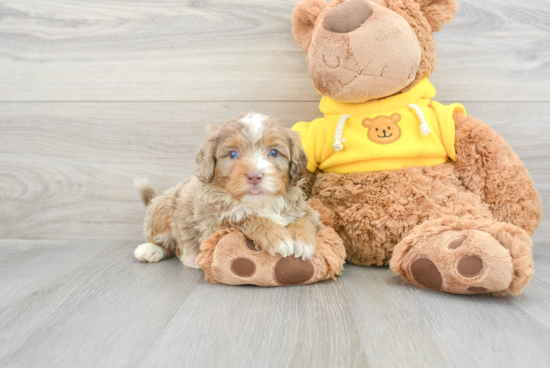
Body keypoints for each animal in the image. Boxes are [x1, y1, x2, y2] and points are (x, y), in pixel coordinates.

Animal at [135, 112, 324, 268]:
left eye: (274, 152)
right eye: (233, 154)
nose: (254, 176)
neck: (260, 203)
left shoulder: (304, 209)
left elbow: (304, 219)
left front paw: (303, 241)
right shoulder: (213, 224)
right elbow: (246, 217)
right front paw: (277, 236)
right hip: (162, 209)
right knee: (165, 240)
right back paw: (152, 250)